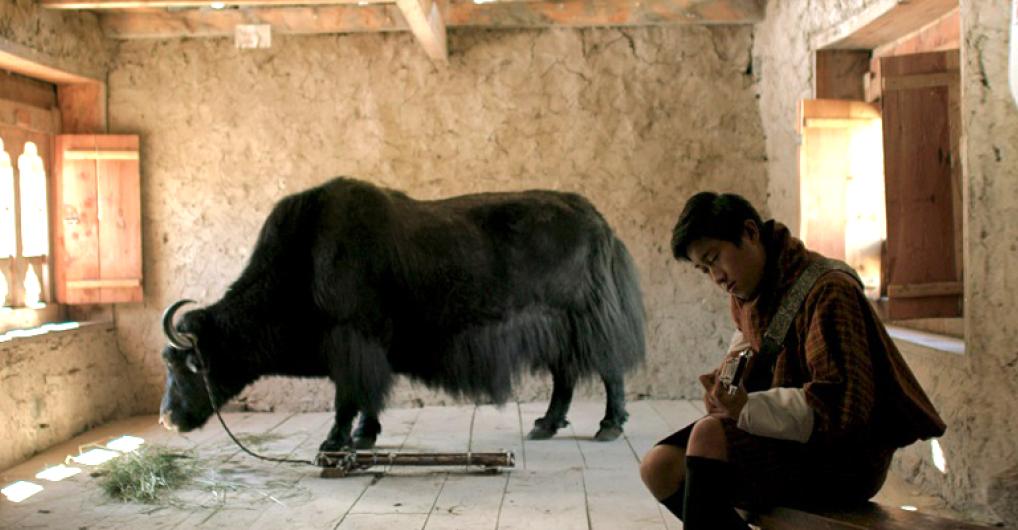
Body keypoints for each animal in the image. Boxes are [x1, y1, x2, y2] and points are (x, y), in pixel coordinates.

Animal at [159, 177, 645, 451]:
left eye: (189, 365)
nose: (166, 420)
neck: (302, 262)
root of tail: (598, 221)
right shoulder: (371, 348)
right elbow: (368, 395)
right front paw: (365, 435)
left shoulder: (350, 341)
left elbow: (348, 395)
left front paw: (336, 441)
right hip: (556, 331)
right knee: (566, 375)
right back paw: (545, 425)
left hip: (584, 319)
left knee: (609, 368)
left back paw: (608, 427)